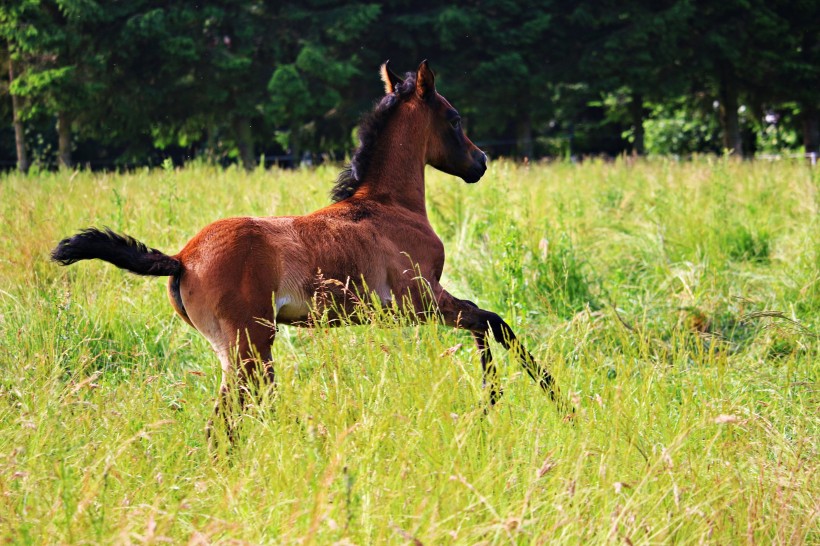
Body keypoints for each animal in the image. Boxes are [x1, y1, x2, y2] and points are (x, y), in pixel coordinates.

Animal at [51, 61, 564, 440]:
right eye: (454, 118)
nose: (480, 162)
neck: (387, 206)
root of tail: (182, 257)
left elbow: (485, 322)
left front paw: (507, 402)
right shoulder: (418, 299)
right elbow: (489, 319)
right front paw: (529, 400)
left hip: (236, 352)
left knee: (235, 417)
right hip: (251, 347)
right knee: (237, 417)